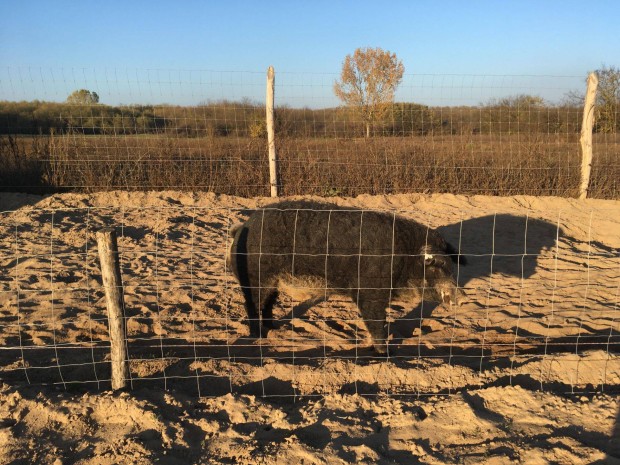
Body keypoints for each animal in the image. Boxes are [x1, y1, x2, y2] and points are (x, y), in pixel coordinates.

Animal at [228, 198, 464, 352]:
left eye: (450, 265)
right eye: (437, 265)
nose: (462, 297)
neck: (405, 257)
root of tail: (242, 227)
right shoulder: (370, 293)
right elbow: (376, 322)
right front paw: (384, 352)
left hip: (273, 282)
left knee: (268, 304)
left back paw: (274, 328)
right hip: (255, 278)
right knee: (251, 305)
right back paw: (257, 335)